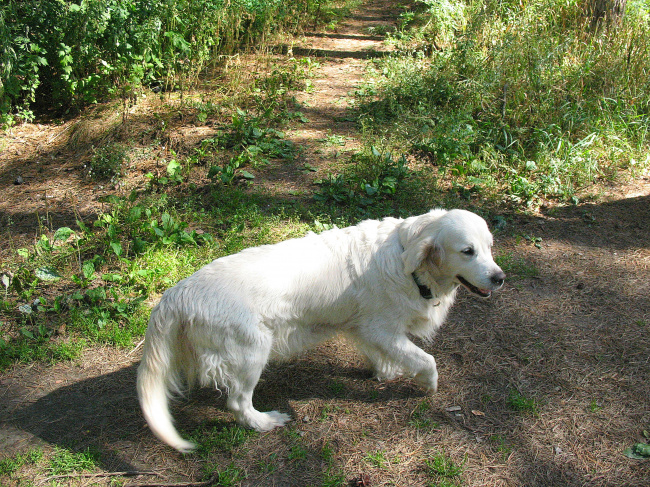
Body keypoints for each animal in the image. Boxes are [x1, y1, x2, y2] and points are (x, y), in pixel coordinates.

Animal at [135, 208, 502, 452]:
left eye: (489, 247)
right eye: (467, 251)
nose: (499, 278)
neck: (406, 260)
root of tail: (177, 293)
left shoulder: (365, 328)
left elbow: (386, 357)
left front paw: (387, 371)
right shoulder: (381, 329)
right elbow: (426, 360)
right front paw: (428, 384)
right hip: (251, 353)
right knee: (238, 404)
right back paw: (266, 422)